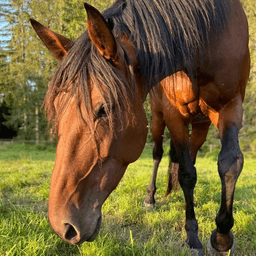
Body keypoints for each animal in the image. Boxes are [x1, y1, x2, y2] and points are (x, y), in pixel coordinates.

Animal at [30, 1, 250, 255]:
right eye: (57, 106)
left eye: (103, 109)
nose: (61, 225)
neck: (205, 37)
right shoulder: (174, 113)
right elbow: (186, 174)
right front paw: (192, 237)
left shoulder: (231, 105)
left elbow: (229, 164)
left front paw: (222, 238)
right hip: (158, 119)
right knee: (158, 154)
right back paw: (150, 199)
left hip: (201, 124)